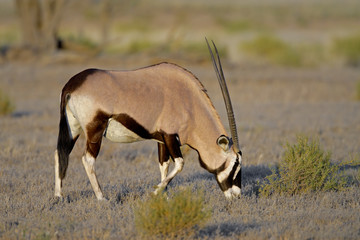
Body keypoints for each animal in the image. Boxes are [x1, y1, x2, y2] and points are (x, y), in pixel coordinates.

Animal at [54, 39, 242, 201]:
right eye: (235, 164)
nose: (237, 195)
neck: (189, 102)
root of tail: (72, 85)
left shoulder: (161, 140)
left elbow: (164, 165)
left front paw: (164, 197)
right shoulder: (170, 136)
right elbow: (180, 164)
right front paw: (155, 192)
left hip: (73, 128)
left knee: (61, 152)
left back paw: (59, 196)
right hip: (95, 130)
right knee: (87, 159)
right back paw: (101, 198)